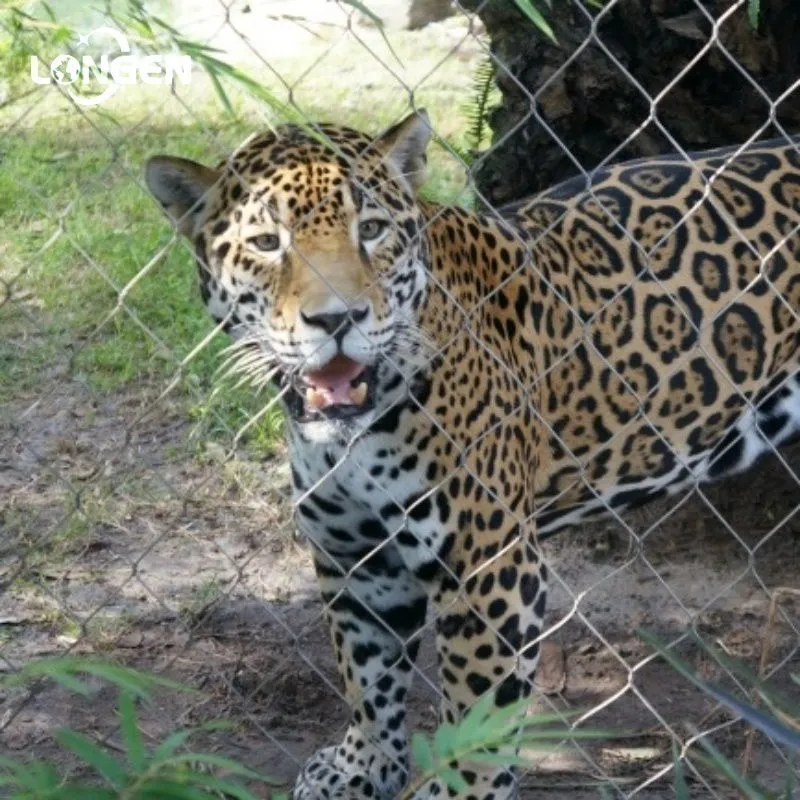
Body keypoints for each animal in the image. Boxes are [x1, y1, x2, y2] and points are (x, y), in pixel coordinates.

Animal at [145, 111, 800, 799]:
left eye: (371, 230)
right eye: (268, 243)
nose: (339, 319)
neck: (347, 437)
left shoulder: (490, 565)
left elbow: (480, 705)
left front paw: (461, 789)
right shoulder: (354, 557)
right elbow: (366, 673)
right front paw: (363, 767)